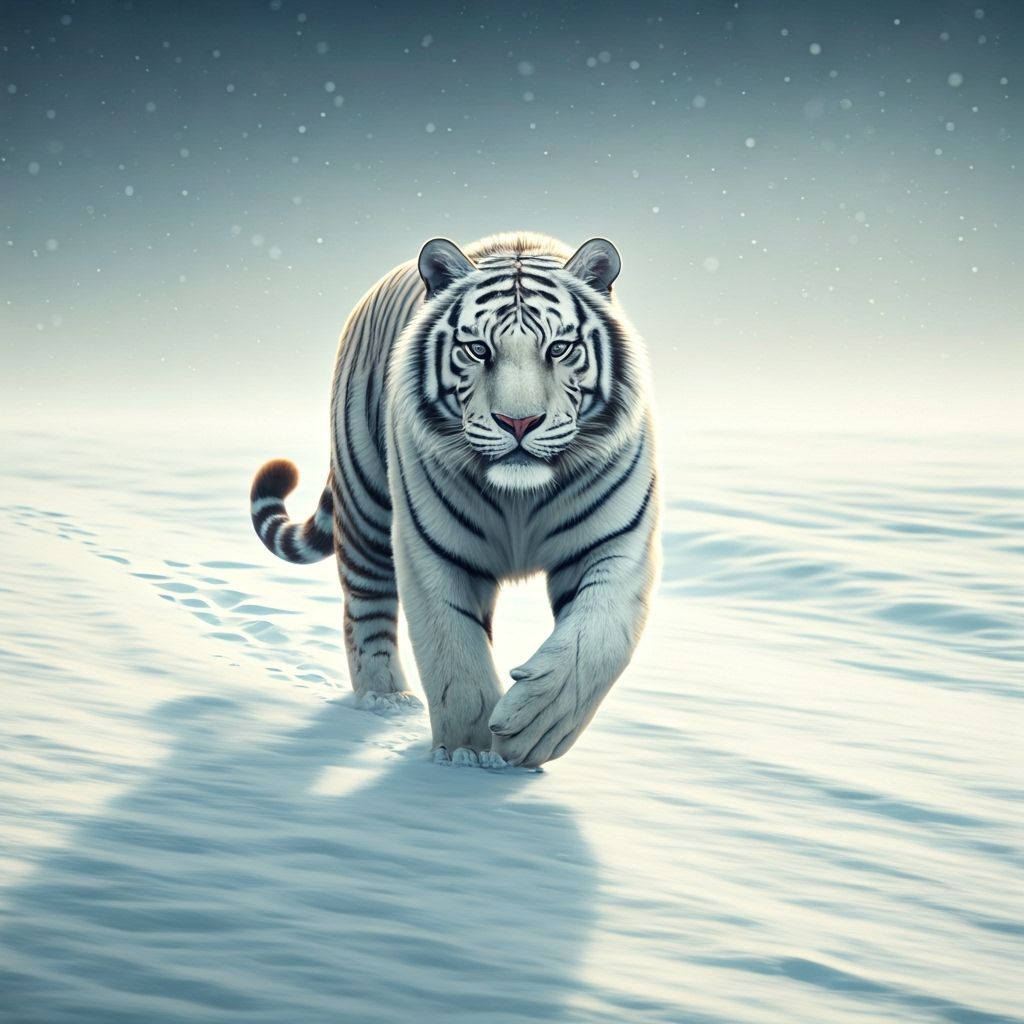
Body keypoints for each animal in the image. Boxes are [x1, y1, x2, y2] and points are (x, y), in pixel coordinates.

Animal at [250, 232, 659, 768]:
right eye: (477, 349)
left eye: (560, 347)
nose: (518, 422)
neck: (520, 498)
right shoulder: (433, 549)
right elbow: (454, 652)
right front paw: (466, 754)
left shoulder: (614, 545)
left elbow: (594, 644)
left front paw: (533, 731)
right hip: (366, 505)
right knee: (366, 607)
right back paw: (385, 699)